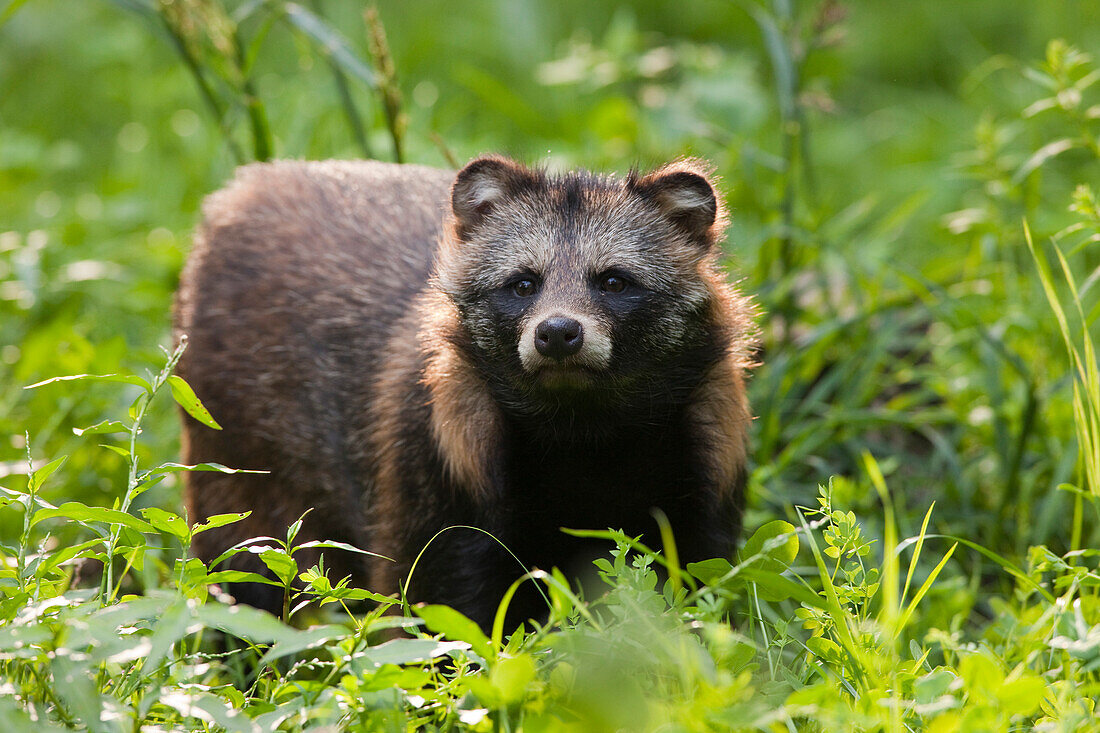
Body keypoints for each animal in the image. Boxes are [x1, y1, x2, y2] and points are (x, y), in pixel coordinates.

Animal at [173, 154, 756, 629]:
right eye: (523, 283)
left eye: (614, 281)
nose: (557, 332)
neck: (582, 429)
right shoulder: (438, 475)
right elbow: (436, 610)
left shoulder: (705, 463)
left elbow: (696, 584)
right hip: (235, 457)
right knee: (243, 573)